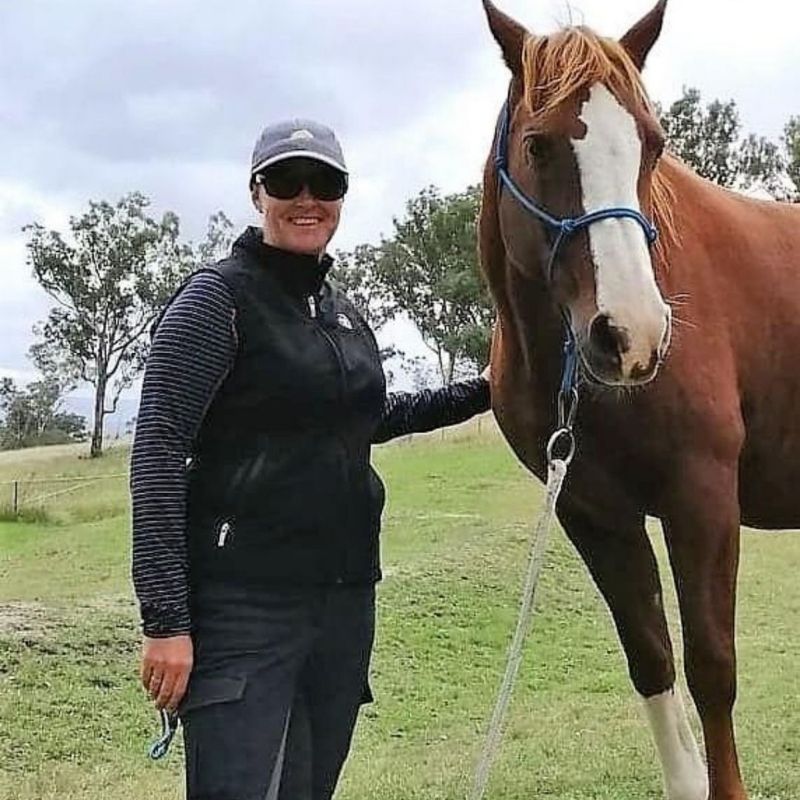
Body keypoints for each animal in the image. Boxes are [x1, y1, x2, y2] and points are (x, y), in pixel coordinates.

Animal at [479, 1, 800, 798]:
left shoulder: (703, 498)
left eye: (653, 145)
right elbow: (653, 662)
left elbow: (713, 670)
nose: (632, 334)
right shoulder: (593, 514)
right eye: (537, 145)